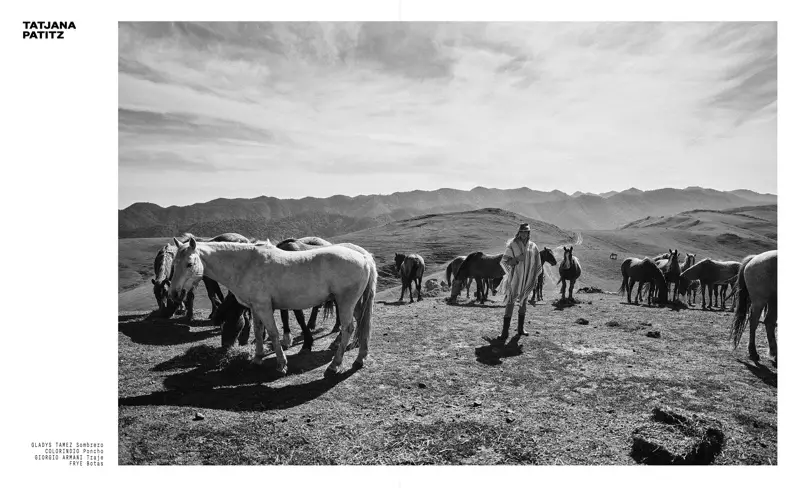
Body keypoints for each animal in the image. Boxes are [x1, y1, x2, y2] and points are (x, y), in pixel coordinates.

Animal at [166, 238, 378, 376]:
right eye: (174, 263)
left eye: (189, 263)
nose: (174, 294)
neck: (247, 265)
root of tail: (363, 257)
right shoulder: (255, 308)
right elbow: (259, 332)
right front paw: (257, 358)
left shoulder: (265, 307)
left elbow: (274, 333)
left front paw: (282, 364)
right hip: (354, 304)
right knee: (362, 324)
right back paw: (360, 358)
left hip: (345, 303)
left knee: (348, 328)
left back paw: (334, 365)